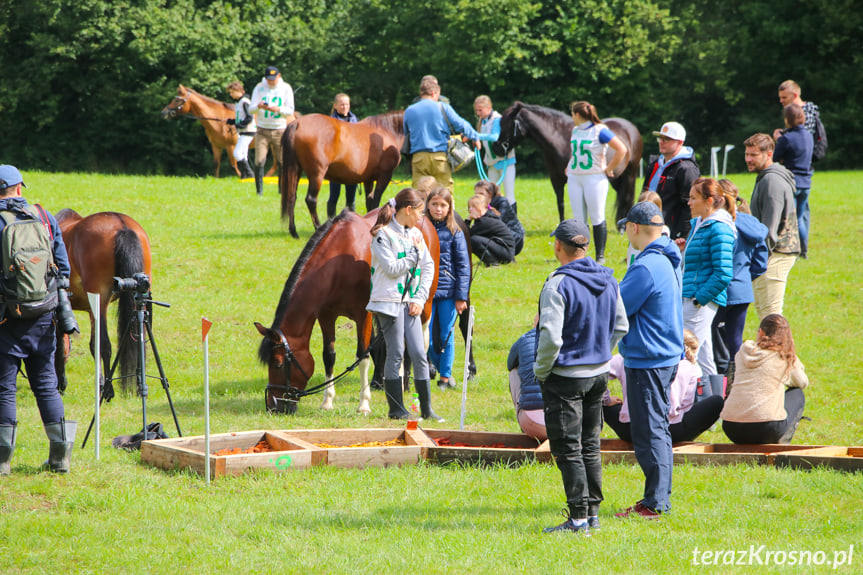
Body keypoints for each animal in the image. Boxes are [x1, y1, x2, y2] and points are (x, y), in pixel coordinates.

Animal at [54, 209, 153, 398]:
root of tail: (121, 224)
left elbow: (61, 345)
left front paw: (61, 383)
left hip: (100, 301)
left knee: (105, 345)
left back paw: (108, 390)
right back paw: (138, 385)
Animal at [251, 209, 438, 416]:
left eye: (278, 364)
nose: (272, 406)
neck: (339, 263)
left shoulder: (364, 316)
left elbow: (362, 356)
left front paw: (364, 404)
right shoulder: (326, 316)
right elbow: (328, 355)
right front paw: (327, 401)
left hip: (425, 304)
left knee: (422, 338)